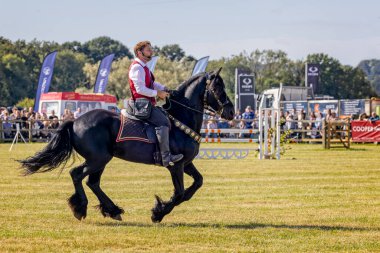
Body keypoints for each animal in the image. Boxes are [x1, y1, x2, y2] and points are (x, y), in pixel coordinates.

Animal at [21, 68, 235, 222]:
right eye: (217, 88)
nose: (231, 112)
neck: (181, 118)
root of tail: (74, 121)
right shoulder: (176, 165)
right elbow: (180, 192)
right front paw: (158, 212)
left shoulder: (187, 163)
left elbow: (196, 184)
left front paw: (161, 209)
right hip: (98, 159)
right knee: (77, 175)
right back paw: (81, 208)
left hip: (101, 160)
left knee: (92, 182)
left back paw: (112, 210)